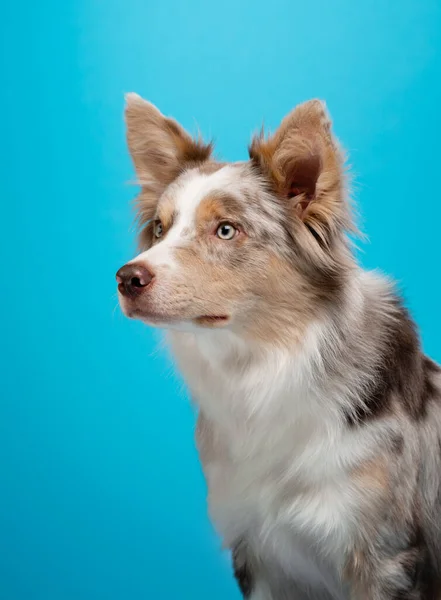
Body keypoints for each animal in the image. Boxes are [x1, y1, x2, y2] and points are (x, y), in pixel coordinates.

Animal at [116, 91, 440, 596]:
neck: (265, 364)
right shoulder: (259, 551)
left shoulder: (387, 557)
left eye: (226, 229)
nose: (126, 278)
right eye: (159, 228)